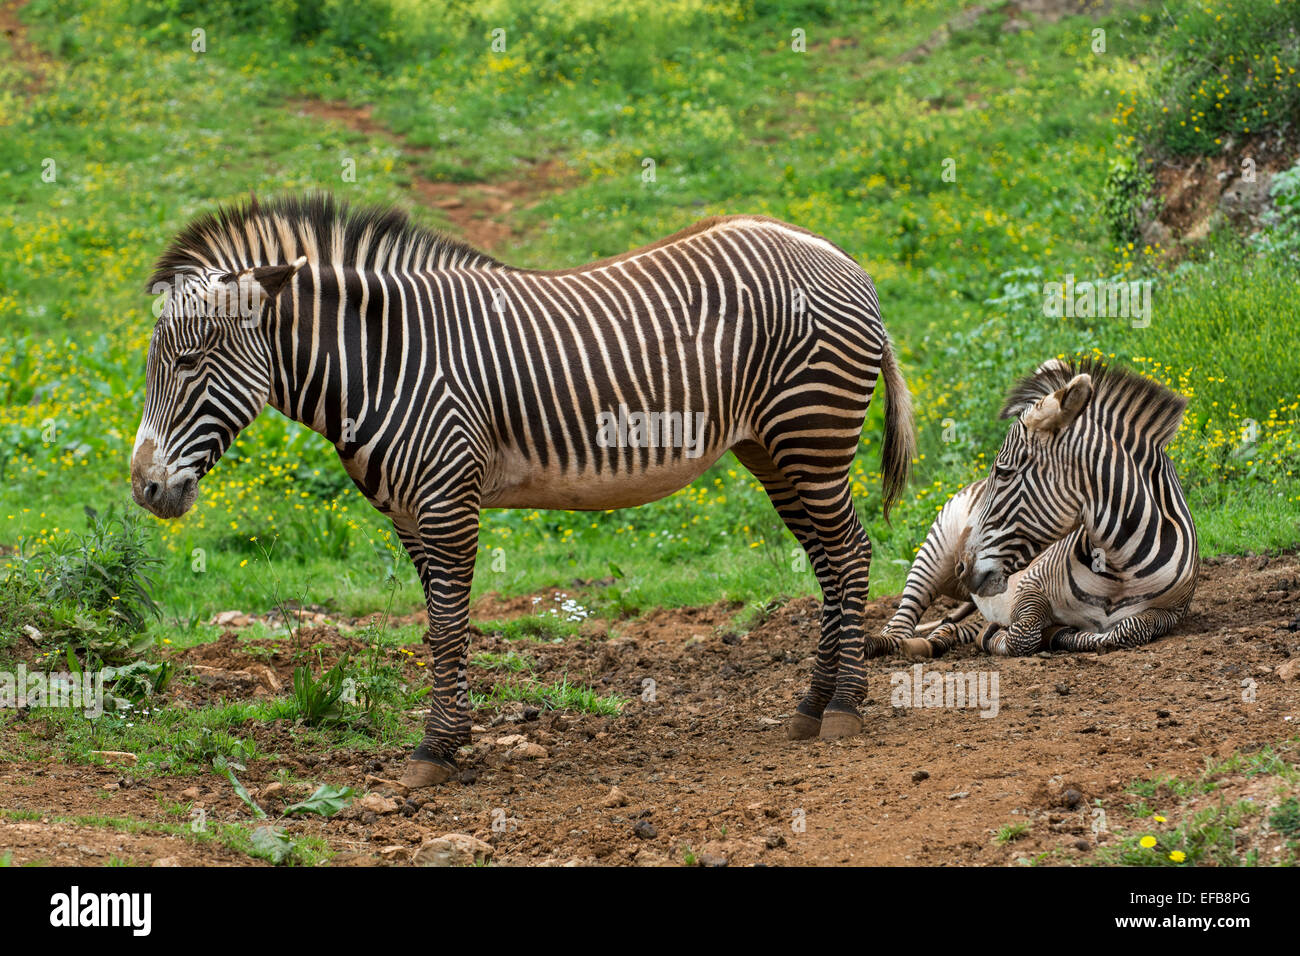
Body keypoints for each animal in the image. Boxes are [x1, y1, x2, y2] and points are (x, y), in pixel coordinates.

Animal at [131, 192, 915, 785]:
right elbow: (435, 624)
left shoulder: (448, 501)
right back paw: (811, 704)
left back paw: (845, 707)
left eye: (192, 362)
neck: (382, 363)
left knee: (851, 553)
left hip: (812, 432)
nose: (143, 489)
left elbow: (450, 625)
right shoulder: (409, 515)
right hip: (774, 450)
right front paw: (451, 740)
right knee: (828, 561)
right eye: (152, 368)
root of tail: (836, 253)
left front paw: (435, 749)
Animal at [883, 358, 1196, 658]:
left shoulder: (1171, 612)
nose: (962, 565)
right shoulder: (1031, 585)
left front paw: (1061, 634)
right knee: (901, 619)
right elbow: (1023, 634)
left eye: (1004, 472)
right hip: (934, 554)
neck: (1120, 570)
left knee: (953, 625)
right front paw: (1003, 637)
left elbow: (1129, 629)